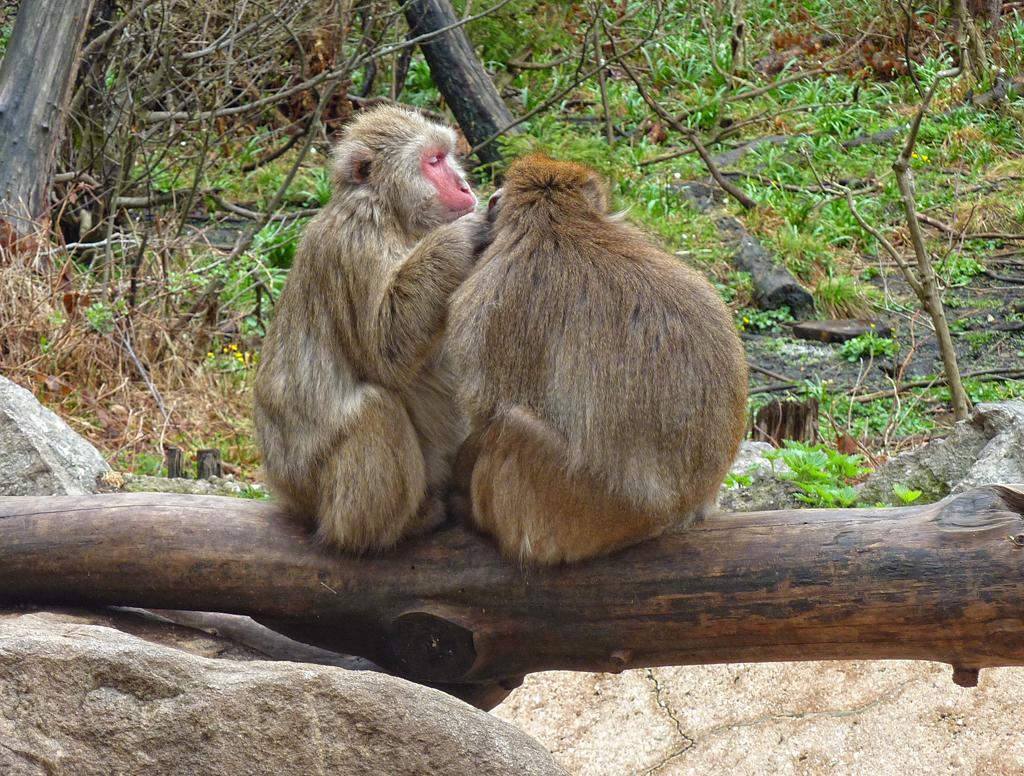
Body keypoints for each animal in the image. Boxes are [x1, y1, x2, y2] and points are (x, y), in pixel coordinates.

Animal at [253, 105, 488, 553]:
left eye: (447, 156)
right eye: (434, 161)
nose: (466, 186)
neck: (395, 214)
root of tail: (286, 492)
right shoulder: (357, 235)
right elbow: (385, 348)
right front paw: (465, 235)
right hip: (313, 487)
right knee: (376, 407)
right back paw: (382, 531)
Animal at [446, 154, 748, 565]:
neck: (558, 221)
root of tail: (680, 511)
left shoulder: (492, 294)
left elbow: (487, 408)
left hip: (583, 514)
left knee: (513, 426)